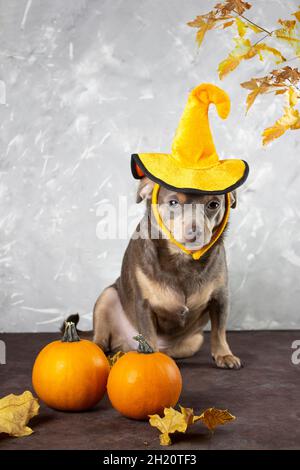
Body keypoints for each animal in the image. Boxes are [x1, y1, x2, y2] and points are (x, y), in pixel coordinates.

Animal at [92, 176, 243, 370]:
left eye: (213, 205)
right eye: (173, 202)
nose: (195, 231)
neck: (182, 257)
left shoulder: (220, 298)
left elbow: (219, 330)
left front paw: (224, 354)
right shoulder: (144, 304)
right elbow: (148, 335)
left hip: (194, 341)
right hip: (107, 296)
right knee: (101, 340)